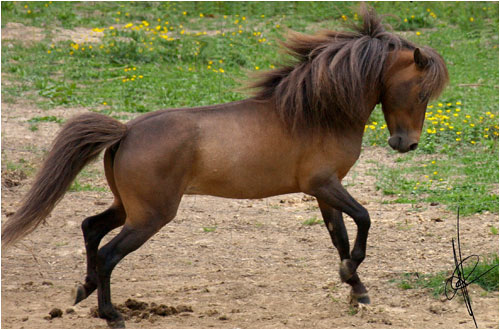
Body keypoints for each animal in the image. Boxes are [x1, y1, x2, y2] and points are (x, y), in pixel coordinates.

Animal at [1, 6, 448, 328]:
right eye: (420, 91)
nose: (406, 144)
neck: (317, 113)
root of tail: (126, 131)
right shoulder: (324, 184)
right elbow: (365, 219)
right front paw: (353, 274)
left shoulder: (324, 191)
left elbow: (339, 236)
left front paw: (355, 289)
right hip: (151, 215)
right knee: (109, 252)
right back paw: (112, 315)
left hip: (129, 207)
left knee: (91, 228)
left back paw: (84, 289)